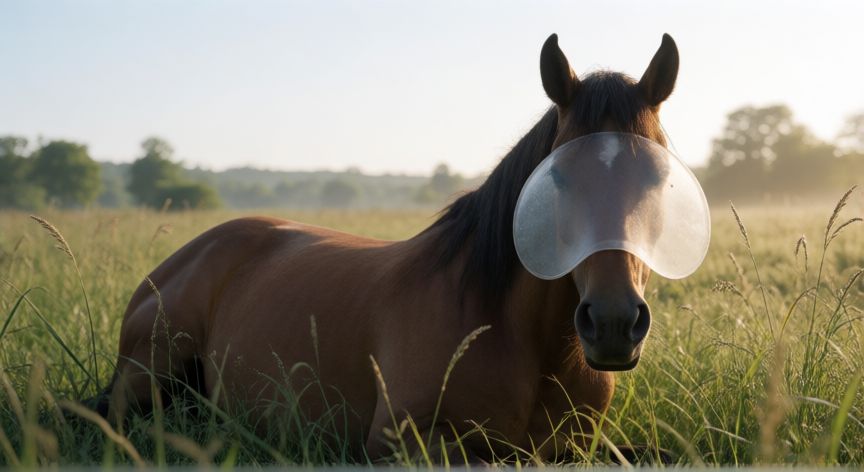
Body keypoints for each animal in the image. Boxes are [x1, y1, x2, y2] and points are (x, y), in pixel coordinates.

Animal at [96, 33, 683, 462]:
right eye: (557, 178)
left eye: (660, 179)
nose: (612, 322)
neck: (519, 337)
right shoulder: (400, 441)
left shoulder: (581, 446)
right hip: (149, 376)